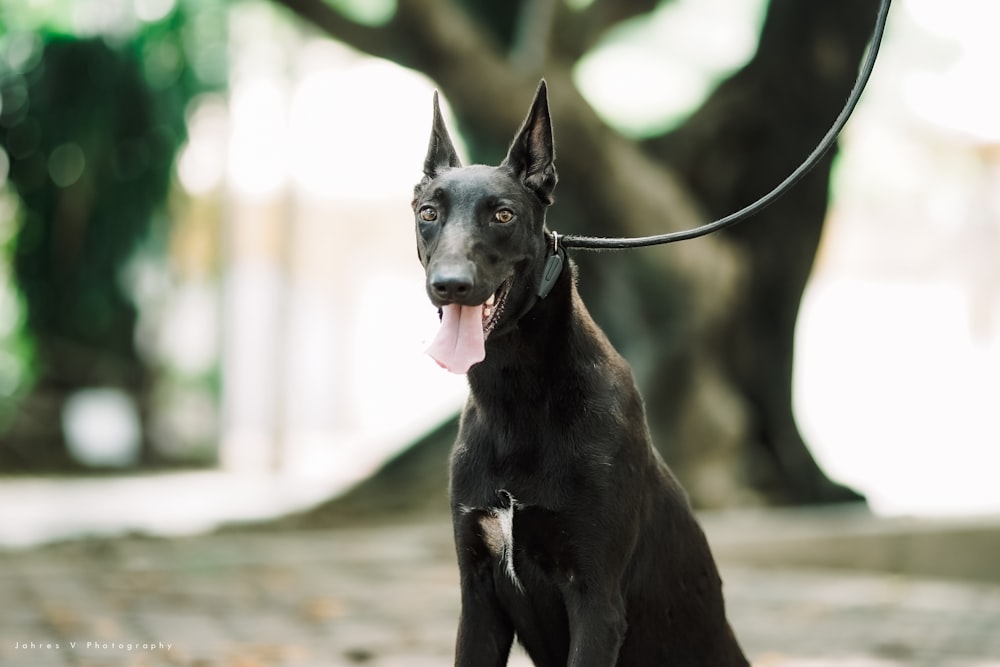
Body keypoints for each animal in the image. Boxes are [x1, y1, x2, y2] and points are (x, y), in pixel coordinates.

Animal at [410, 83, 748, 667]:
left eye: (503, 215)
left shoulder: (595, 602)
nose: (449, 285)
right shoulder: (478, 599)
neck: (519, 396)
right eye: (429, 211)